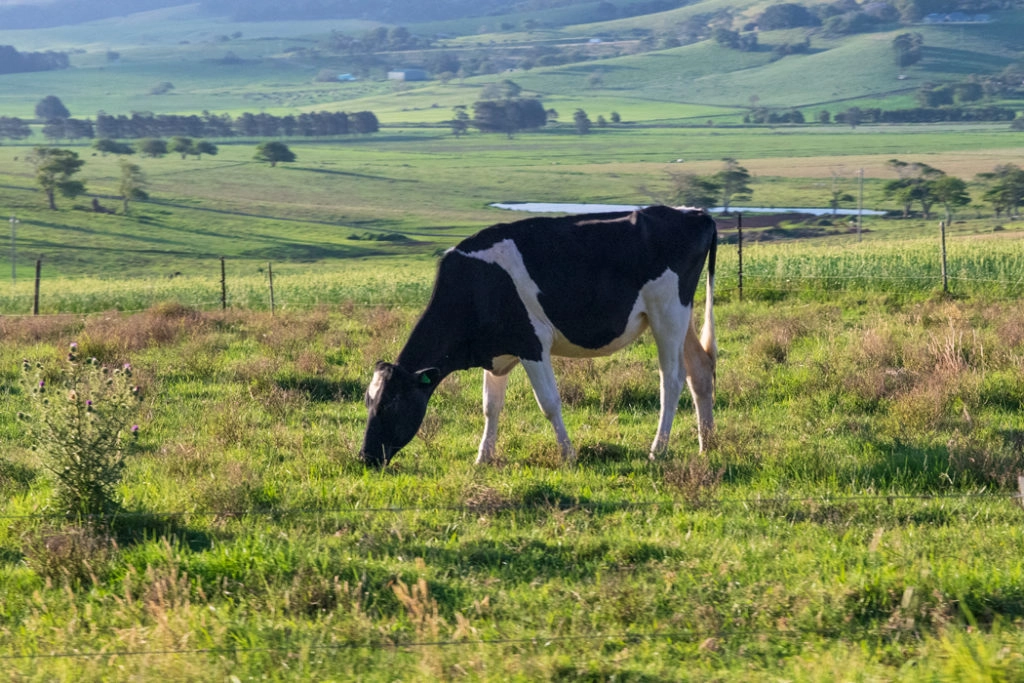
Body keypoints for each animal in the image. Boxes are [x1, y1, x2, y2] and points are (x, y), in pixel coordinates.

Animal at [359, 205, 718, 468]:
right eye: (368, 401)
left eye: (390, 404)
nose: (365, 457)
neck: (475, 285)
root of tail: (694, 213)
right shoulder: (497, 351)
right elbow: (491, 406)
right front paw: (483, 457)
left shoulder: (532, 343)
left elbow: (549, 403)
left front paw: (568, 455)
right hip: (681, 314)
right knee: (700, 371)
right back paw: (707, 445)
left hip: (667, 312)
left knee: (672, 379)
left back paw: (658, 450)